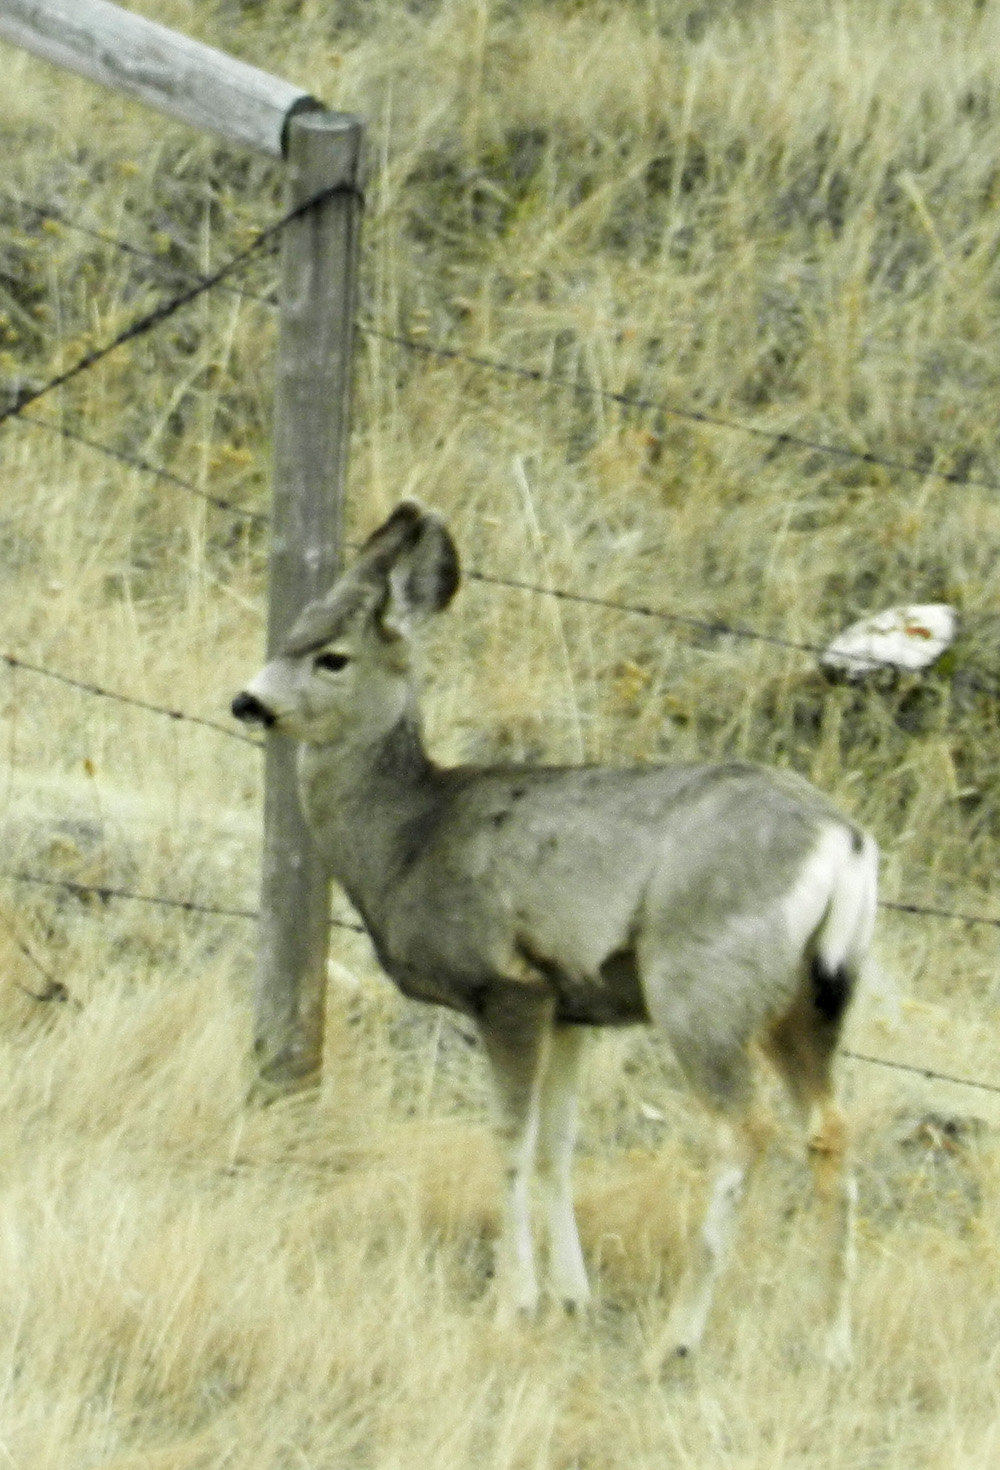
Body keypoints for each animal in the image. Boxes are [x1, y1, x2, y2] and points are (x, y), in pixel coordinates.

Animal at [231, 501, 878, 1370]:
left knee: (744, 1131)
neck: (409, 837)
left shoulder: (507, 985)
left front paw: (516, 1303)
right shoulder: (575, 1007)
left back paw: (677, 1341)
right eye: (289, 634)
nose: (247, 701)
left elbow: (510, 1138)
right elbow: (558, 1147)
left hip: (702, 986)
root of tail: (843, 845)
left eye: (331, 657)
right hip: (811, 1002)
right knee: (831, 1132)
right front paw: (572, 1298)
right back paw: (833, 1344)